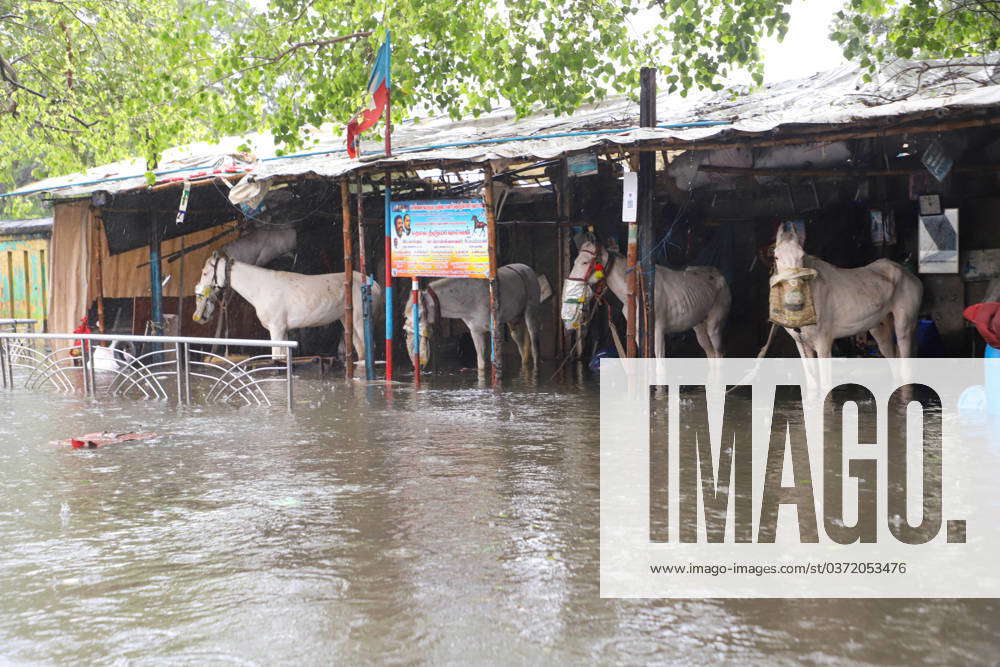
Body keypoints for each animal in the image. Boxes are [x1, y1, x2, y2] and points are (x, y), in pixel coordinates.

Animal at [193, 253, 380, 362]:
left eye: (205, 273)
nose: (200, 315)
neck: (261, 287)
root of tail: (374, 285)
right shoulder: (283, 331)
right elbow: (281, 359)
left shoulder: (276, 329)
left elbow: (276, 357)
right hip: (347, 320)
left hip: (360, 321)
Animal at [402, 264, 544, 374]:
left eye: (419, 317)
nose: (417, 364)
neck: (469, 298)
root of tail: (526, 268)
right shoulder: (476, 331)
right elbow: (481, 362)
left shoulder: (495, 329)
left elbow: (495, 360)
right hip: (514, 320)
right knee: (522, 346)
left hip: (531, 312)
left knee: (534, 345)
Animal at [560, 235, 732, 360]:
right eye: (575, 260)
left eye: (585, 262)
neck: (637, 292)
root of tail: (719, 274)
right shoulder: (637, 332)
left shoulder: (658, 330)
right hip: (699, 325)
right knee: (710, 353)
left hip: (715, 324)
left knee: (718, 354)